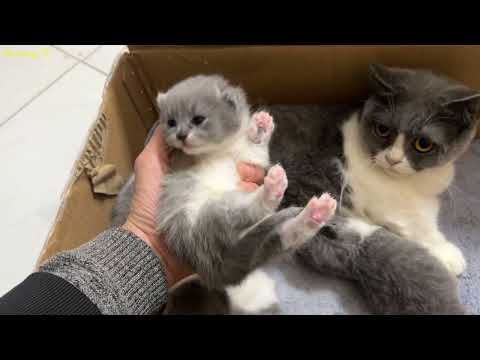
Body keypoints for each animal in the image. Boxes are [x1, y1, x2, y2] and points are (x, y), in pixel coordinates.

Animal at [112, 74, 338, 310]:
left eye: (198, 119)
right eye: (171, 122)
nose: (181, 135)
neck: (216, 151)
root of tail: (210, 265)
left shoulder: (248, 158)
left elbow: (256, 149)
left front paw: (262, 125)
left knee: (284, 235)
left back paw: (317, 212)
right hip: (212, 213)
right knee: (249, 213)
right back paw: (274, 188)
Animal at [266, 64, 480, 316]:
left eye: (423, 144)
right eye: (383, 129)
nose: (393, 159)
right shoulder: (383, 199)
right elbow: (415, 222)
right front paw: (447, 253)